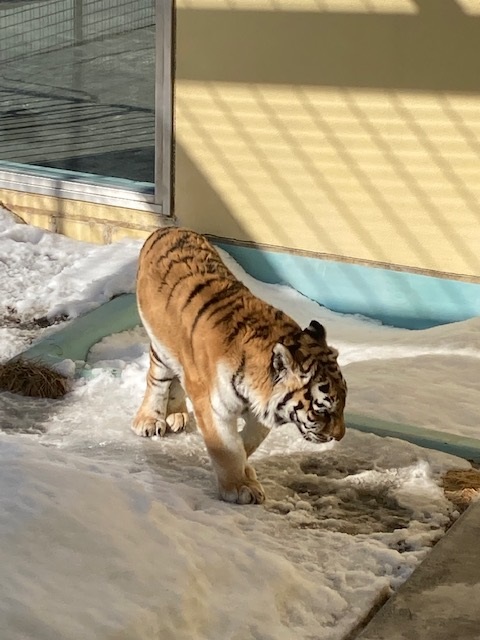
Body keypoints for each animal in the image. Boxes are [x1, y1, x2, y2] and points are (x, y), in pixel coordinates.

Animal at [133, 229, 346, 504]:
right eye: (322, 412)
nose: (339, 436)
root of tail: (169, 230)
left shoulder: (262, 412)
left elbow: (248, 442)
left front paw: (247, 471)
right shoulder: (213, 407)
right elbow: (227, 449)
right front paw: (240, 488)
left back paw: (177, 414)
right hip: (161, 345)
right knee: (157, 379)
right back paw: (150, 419)